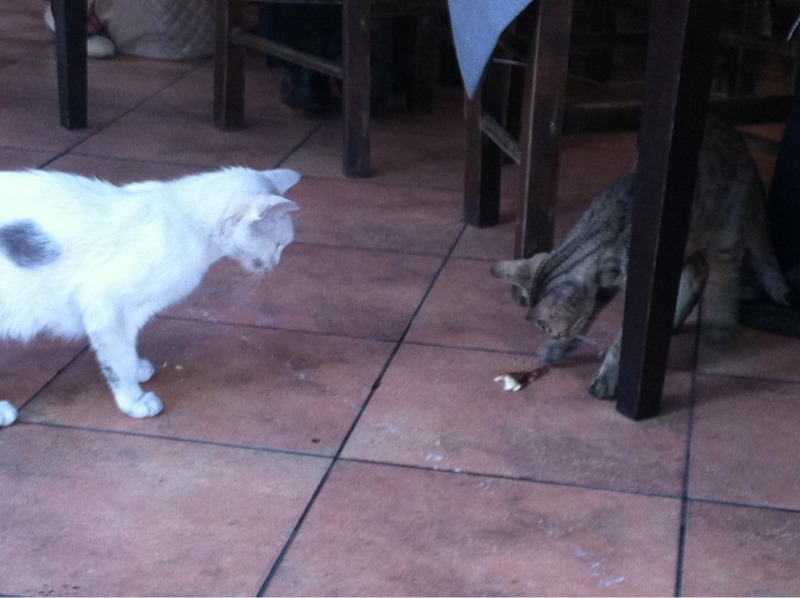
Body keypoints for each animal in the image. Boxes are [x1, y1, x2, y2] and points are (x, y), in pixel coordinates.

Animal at [0, 166, 300, 427]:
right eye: (279, 245)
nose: (275, 264)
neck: (189, 223)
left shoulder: (133, 310)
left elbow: (127, 345)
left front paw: (137, 368)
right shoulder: (102, 302)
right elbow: (117, 359)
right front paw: (133, 401)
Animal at [492, 115, 792, 399]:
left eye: (549, 327)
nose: (558, 335)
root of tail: (738, 138)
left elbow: (622, 338)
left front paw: (608, 374)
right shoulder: (603, 287)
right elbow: (592, 314)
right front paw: (560, 348)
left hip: (724, 234)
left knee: (728, 274)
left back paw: (721, 325)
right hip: (686, 241)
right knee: (699, 272)